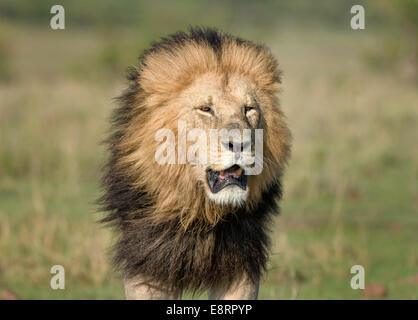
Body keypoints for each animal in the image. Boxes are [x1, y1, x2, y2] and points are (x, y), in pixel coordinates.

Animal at [100, 27, 290, 300]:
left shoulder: (241, 262)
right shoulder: (147, 261)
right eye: (206, 109)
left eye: (249, 109)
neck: (201, 213)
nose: (240, 144)